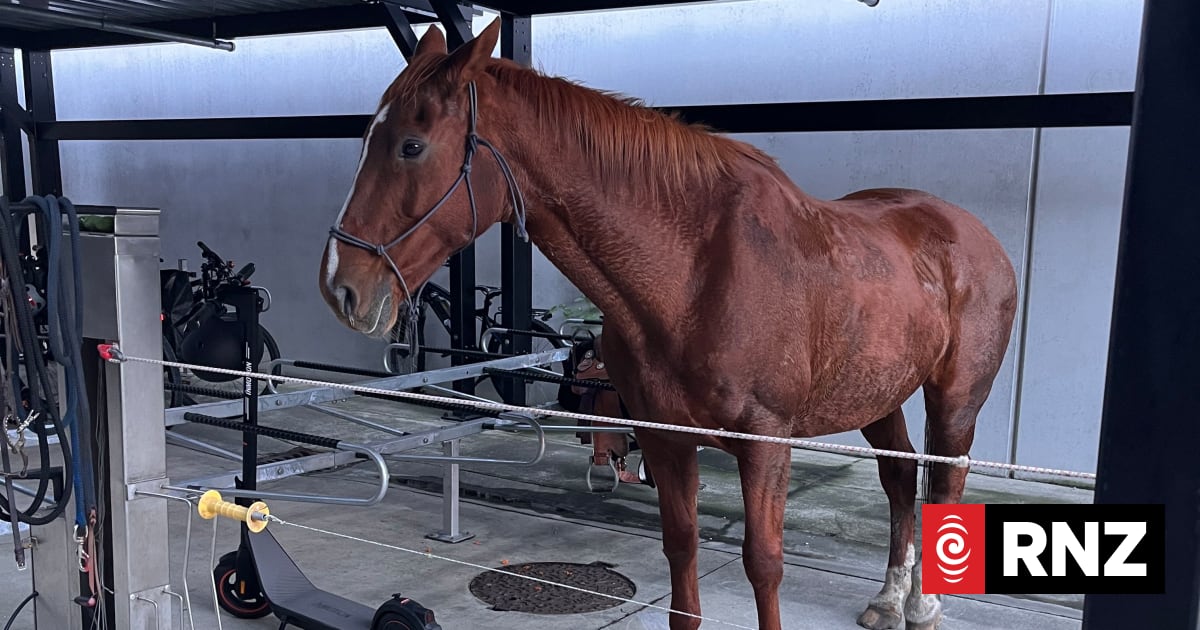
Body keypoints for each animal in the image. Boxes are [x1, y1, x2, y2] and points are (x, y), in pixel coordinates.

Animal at [319, 19, 1017, 630]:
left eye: (412, 146)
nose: (340, 285)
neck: (695, 276)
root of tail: (975, 236)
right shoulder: (664, 438)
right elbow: (681, 555)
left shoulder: (767, 445)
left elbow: (764, 566)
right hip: (878, 393)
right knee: (899, 479)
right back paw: (889, 600)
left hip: (954, 398)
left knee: (944, 480)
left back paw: (923, 606)